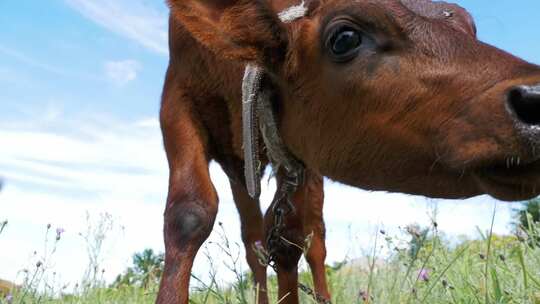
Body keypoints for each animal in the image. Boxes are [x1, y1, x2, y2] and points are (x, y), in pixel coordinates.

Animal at [156, 0, 540, 304]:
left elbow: (291, 239)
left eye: (469, 28)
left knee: (312, 241)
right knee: (254, 241)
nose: (536, 98)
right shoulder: (175, 97)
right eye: (345, 38)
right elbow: (190, 214)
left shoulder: (301, 150)